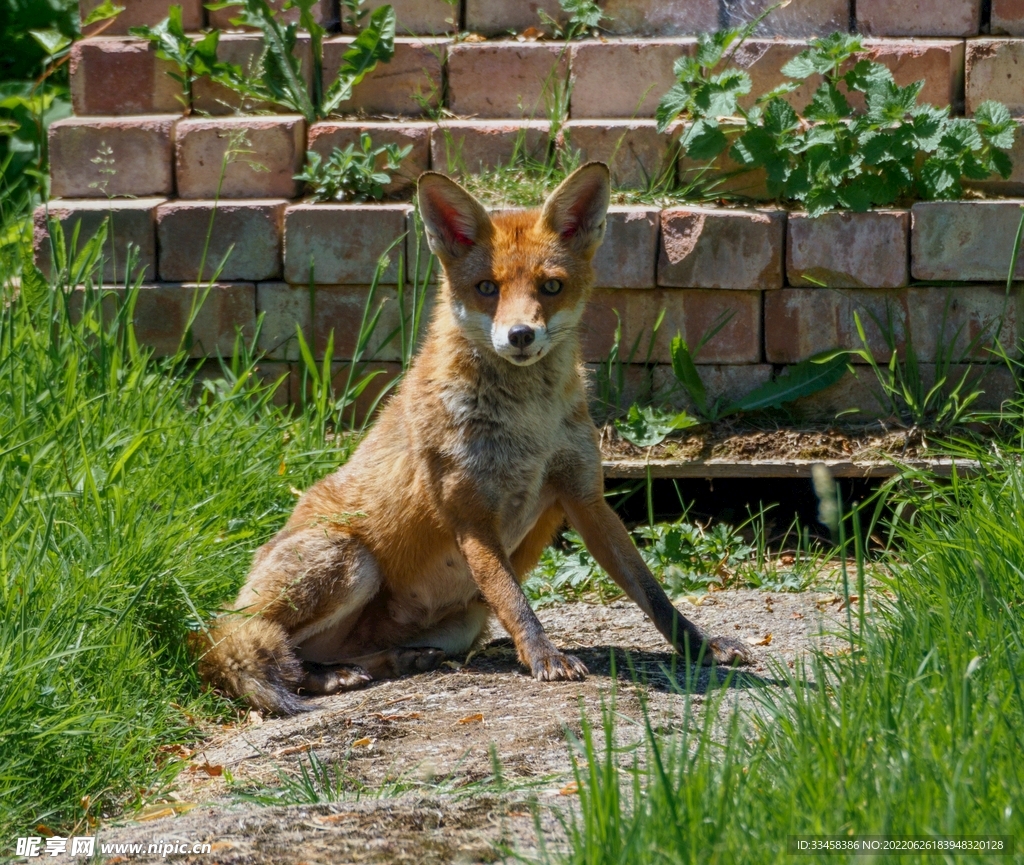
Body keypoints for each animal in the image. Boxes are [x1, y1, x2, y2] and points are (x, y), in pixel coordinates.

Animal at [195, 161, 749, 716]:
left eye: (551, 287)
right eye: (487, 287)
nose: (520, 335)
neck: (530, 424)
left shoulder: (585, 498)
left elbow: (652, 593)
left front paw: (702, 646)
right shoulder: (470, 513)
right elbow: (514, 597)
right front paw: (544, 658)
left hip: (461, 622)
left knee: (321, 650)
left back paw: (389, 662)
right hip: (350, 562)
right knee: (241, 644)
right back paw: (324, 675)